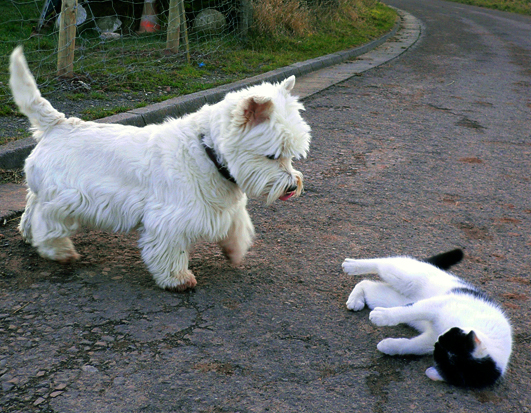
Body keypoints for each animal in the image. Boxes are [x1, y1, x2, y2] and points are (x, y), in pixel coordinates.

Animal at [9, 45, 312, 290]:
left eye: (292, 155)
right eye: (272, 155)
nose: (291, 186)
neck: (209, 152)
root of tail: (58, 124)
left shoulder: (225, 209)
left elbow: (237, 228)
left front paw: (234, 252)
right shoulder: (169, 218)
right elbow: (170, 251)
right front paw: (178, 279)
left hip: (47, 189)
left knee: (32, 206)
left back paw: (29, 234)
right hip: (66, 198)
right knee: (46, 219)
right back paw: (59, 251)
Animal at [342, 249, 512, 388]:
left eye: (440, 344)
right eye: (450, 335)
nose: (440, 337)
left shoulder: (429, 340)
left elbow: (410, 345)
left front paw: (388, 346)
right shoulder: (437, 305)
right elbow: (409, 311)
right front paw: (383, 317)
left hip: (390, 298)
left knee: (367, 284)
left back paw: (357, 299)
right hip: (408, 277)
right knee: (382, 264)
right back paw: (352, 265)